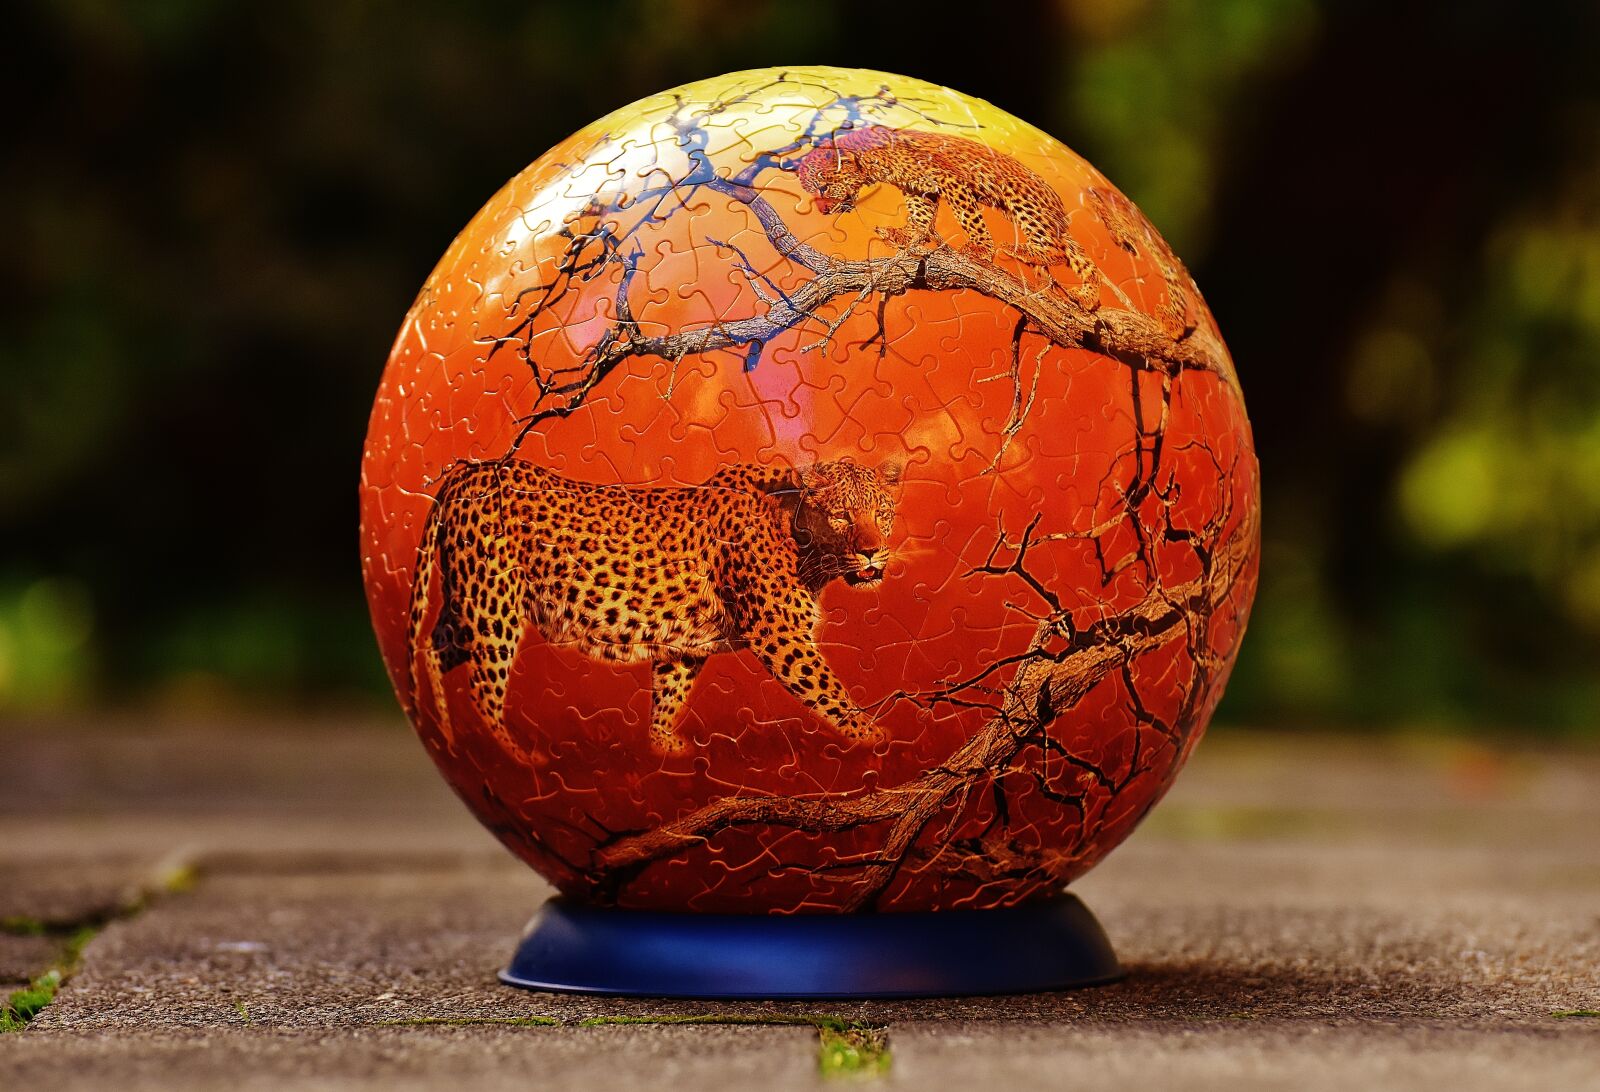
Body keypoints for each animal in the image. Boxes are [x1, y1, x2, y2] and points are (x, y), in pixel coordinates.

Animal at [404, 456, 901, 757]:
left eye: (882, 513)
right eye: (842, 516)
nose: (872, 553)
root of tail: (472, 470)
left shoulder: (685, 644)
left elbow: (669, 690)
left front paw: (663, 746)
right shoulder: (780, 635)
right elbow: (828, 691)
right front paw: (872, 736)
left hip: (467, 601)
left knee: (432, 650)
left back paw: (447, 734)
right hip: (493, 607)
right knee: (483, 691)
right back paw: (521, 759)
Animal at [794, 125, 1105, 305]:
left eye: (823, 187)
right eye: (811, 190)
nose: (822, 210)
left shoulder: (949, 179)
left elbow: (968, 217)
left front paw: (981, 249)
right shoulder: (918, 187)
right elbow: (920, 216)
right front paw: (905, 234)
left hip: (1023, 202)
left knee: (1057, 250)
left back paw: (1024, 252)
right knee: (1084, 262)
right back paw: (1086, 298)